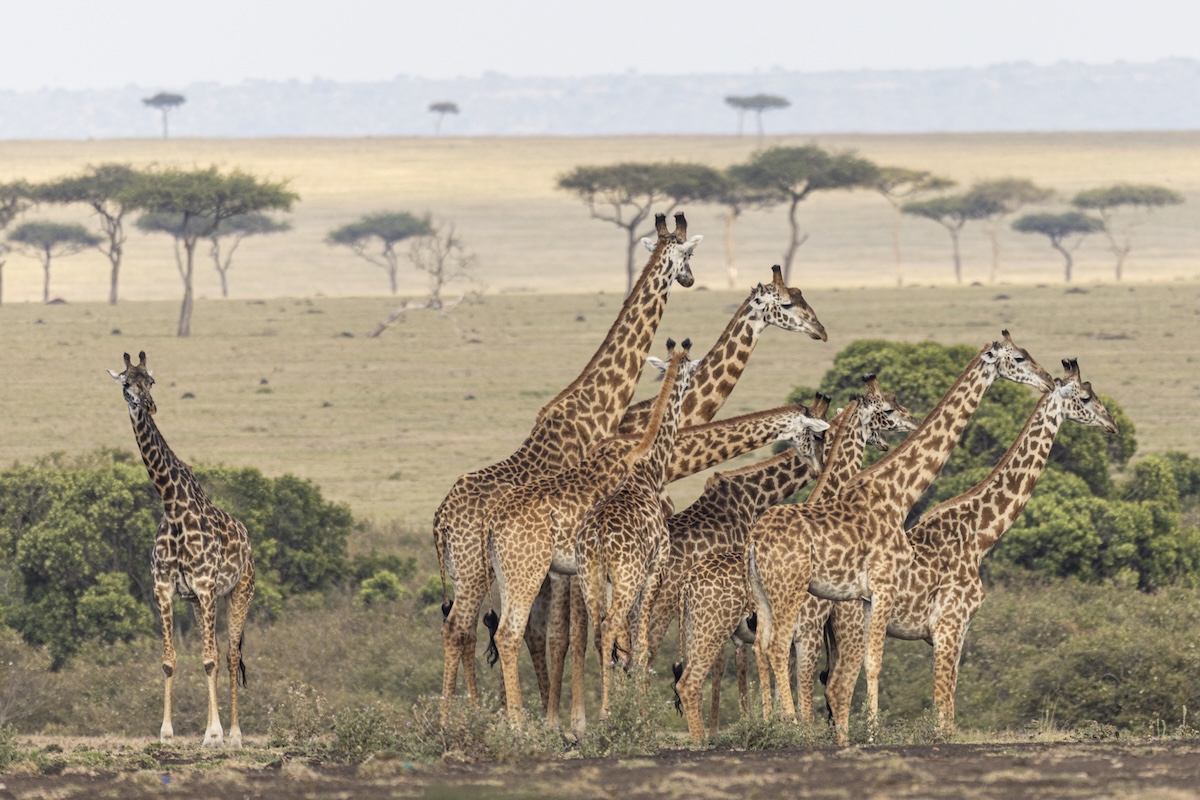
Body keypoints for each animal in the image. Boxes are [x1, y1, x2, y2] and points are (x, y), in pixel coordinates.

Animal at [107, 352, 255, 748]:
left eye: (151, 382)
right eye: (127, 383)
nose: (148, 405)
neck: (173, 507)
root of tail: (248, 541)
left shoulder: (206, 587)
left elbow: (211, 659)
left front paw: (215, 734)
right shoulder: (165, 590)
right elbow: (171, 660)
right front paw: (167, 731)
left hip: (240, 591)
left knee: (230, 655)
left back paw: (234, 735)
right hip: (198, 603)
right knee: (216, 652)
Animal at [486, 339, 696, 722]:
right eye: (691, 365)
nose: (696, 375)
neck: (647, 465)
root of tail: (493, 524)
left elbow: (610, 642)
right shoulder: (652, 567)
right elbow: (637, 641)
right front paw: (632, 712)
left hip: (516, 574)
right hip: (533, 572)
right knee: (510, 634)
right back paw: (522, 723)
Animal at [671, 377, 919, 741]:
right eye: (886, 410)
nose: (912, 420)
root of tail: (689, 581)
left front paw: (774, 723)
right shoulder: (809, 630)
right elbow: (804, 687)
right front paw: (798, 729)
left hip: (697, 627)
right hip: (710, 625)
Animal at [745, 330, 1054, 743]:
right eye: (1018, 358)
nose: (1048, 380)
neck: (898, 493)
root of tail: (753, 539)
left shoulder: (869, 596)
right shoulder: (885, 587)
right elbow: (876, 663)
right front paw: (874, 732)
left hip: (765, 593)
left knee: (764, 649)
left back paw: (767, 725)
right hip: (792, 594)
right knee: (783, 652)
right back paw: (791, 728)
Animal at [819, 358, 1118, 735]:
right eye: (1086, 397)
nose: (1113, 425)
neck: (980, 536)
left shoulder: (958, 633)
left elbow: (949, 702)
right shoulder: (949, 626)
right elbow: (943, 712)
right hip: (853, 629)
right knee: (840, 686)